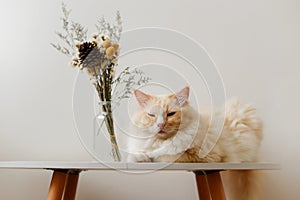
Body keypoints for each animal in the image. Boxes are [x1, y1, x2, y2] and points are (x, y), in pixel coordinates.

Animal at [125, 86, 264, 200]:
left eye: (171, 114)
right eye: (151, 115)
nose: (160, 125)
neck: (161, 141)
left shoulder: (200, 156)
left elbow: (165, 155)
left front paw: (149, 156)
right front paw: (139, 156)